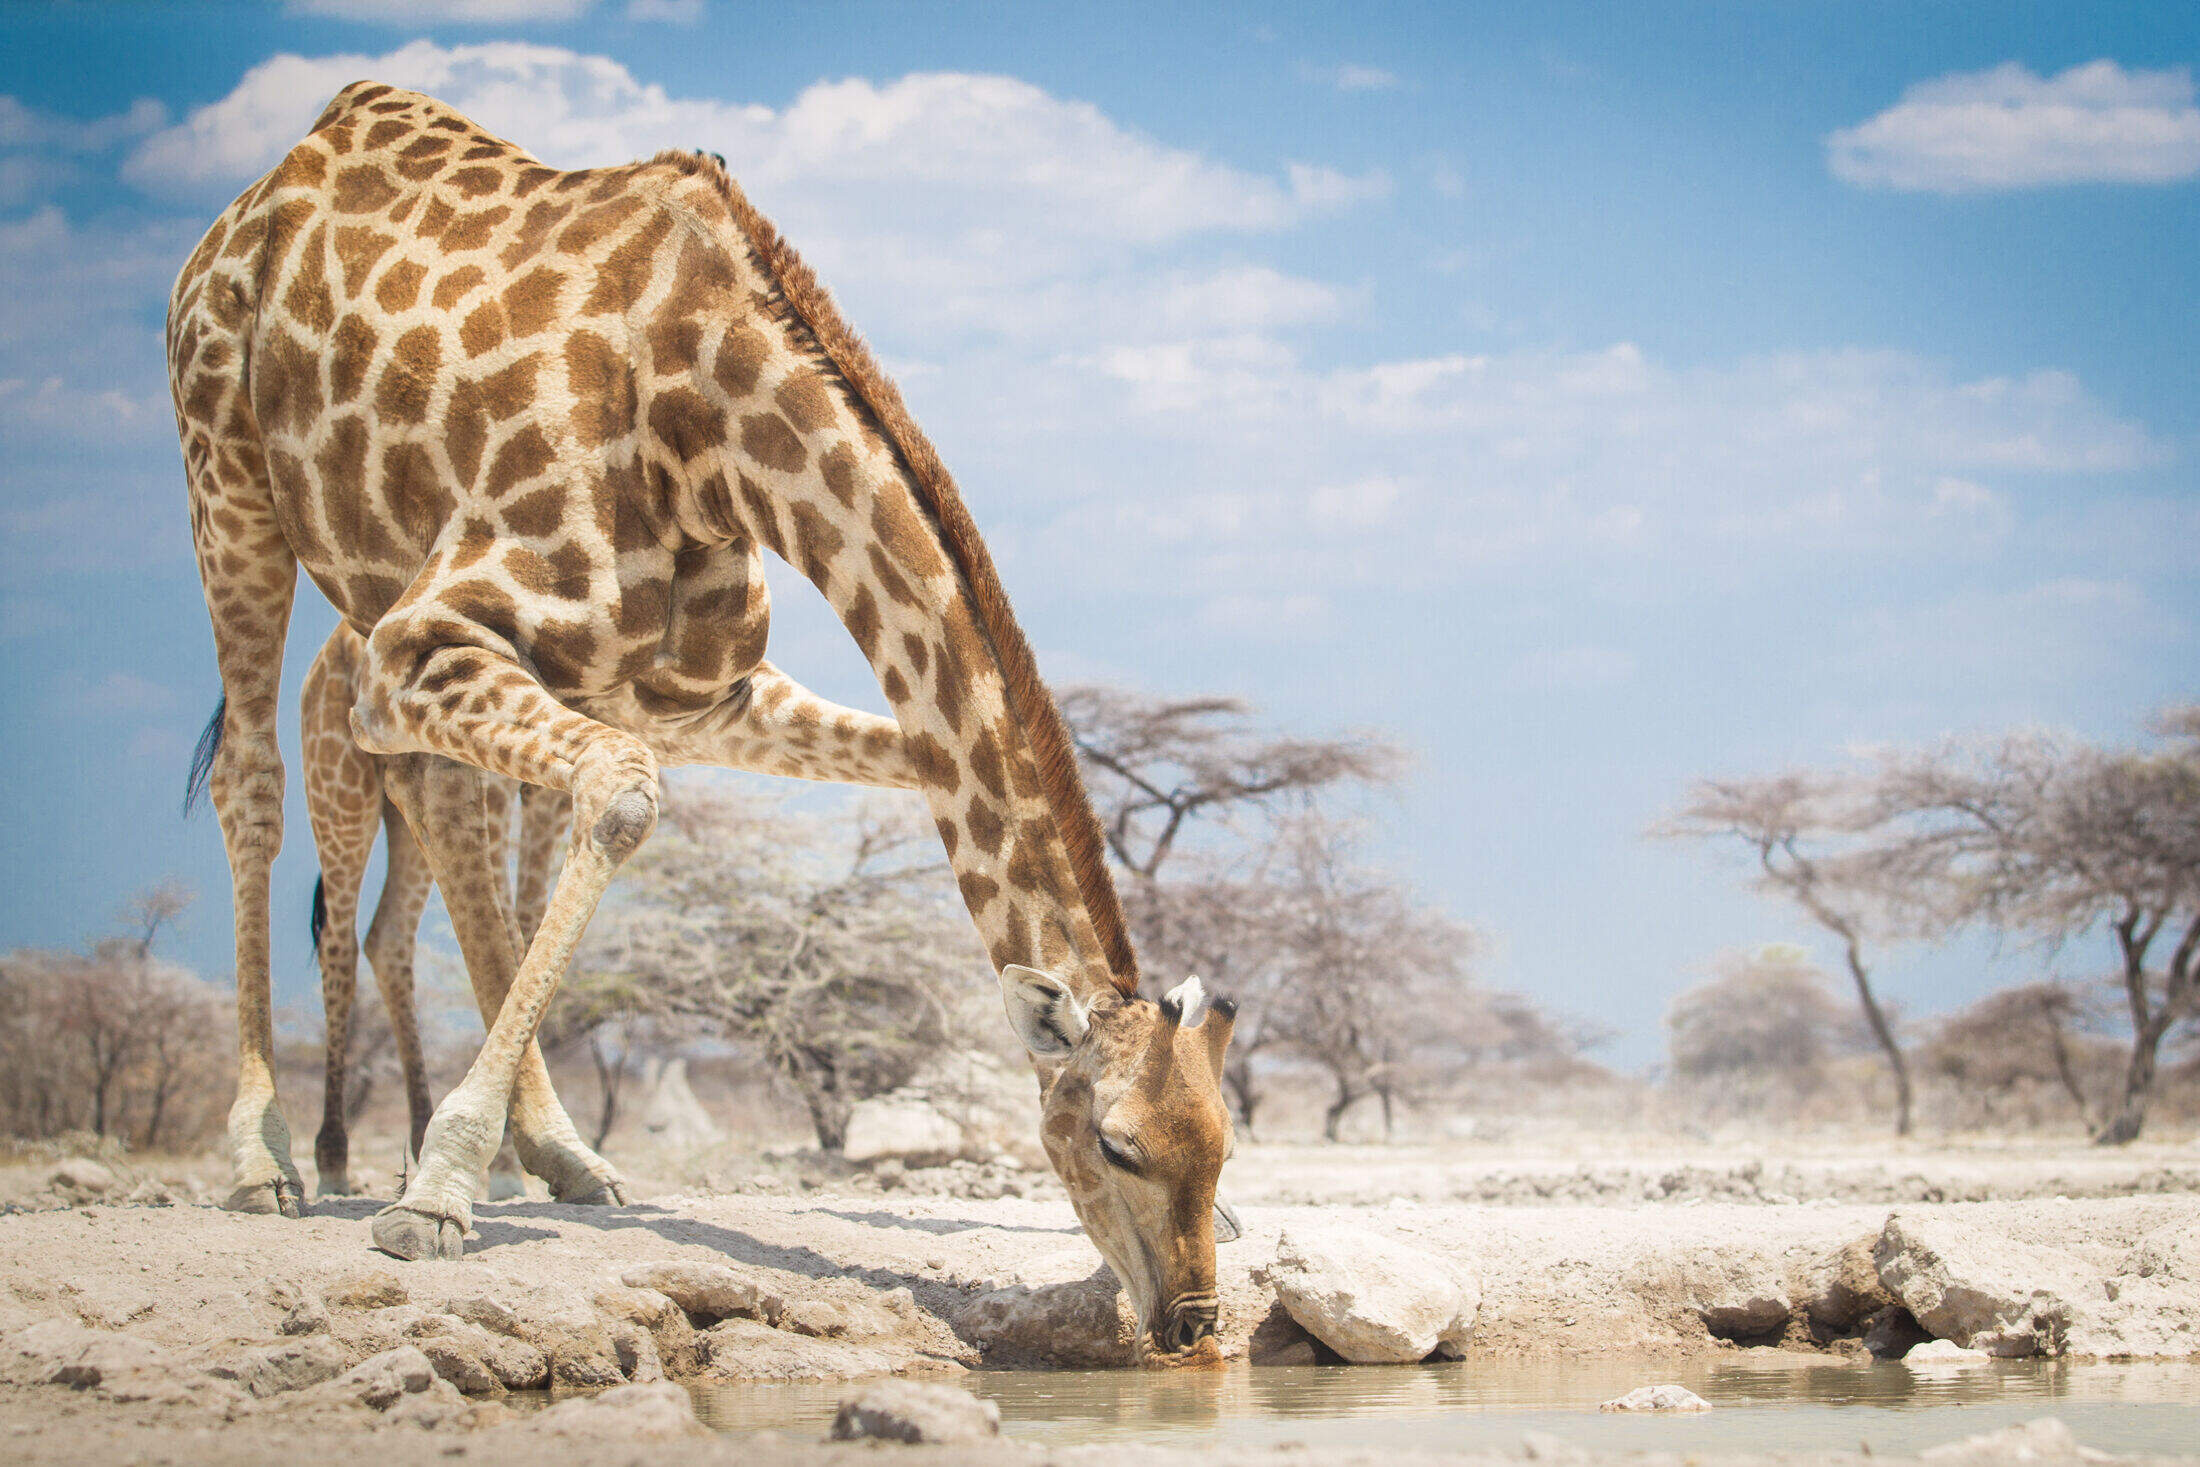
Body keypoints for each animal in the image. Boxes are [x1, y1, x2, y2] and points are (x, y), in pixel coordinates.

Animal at [167, 80, 1240, 1363]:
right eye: (1117, 1144)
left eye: (1224, 1149)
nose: (1192, 1325)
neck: (710, 422)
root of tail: (280, 171)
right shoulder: (413, 648)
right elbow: (625, 802)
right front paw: (433, 1193)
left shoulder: (692, 695)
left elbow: (886, 768)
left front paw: (485, 1161)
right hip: (226, 474)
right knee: (253, 781)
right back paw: (276, 1159)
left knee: (449, 824)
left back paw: (554, 1155)